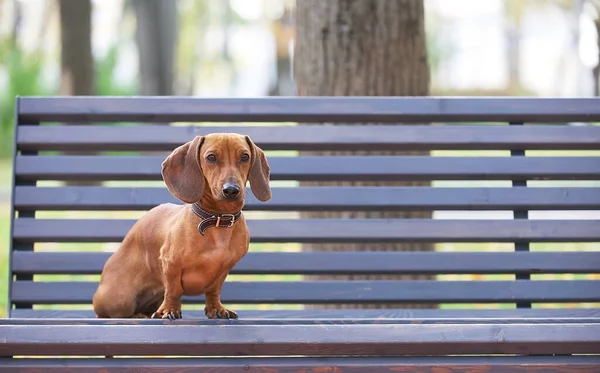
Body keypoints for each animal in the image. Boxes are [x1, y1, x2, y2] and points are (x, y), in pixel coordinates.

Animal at [92, 134, 270, 320]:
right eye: (211, 157)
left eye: (245, 157)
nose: (231, 190)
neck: (217, 220)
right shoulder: (170, 264)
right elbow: (173, 290)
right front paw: (169, 309)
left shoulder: (223, 270)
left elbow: (214, 291)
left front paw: (216, 308)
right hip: (120, 301)